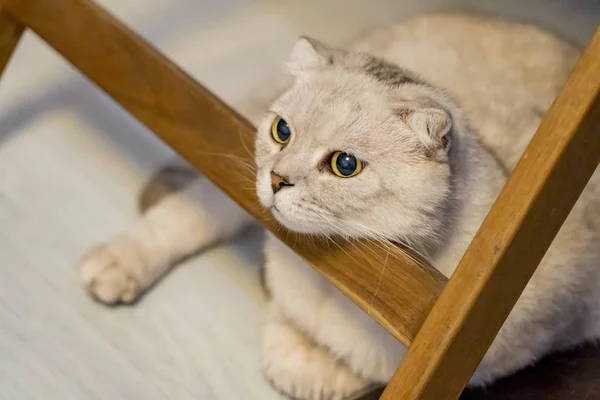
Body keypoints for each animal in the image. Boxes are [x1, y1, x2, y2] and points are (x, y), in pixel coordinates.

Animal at [79, 12, 600, 400]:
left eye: (344, 164)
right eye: (282, 131)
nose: (276, 180)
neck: (325, 270)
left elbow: (337, 362)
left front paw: (305, 356)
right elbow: (185, 217)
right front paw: (118, 262)